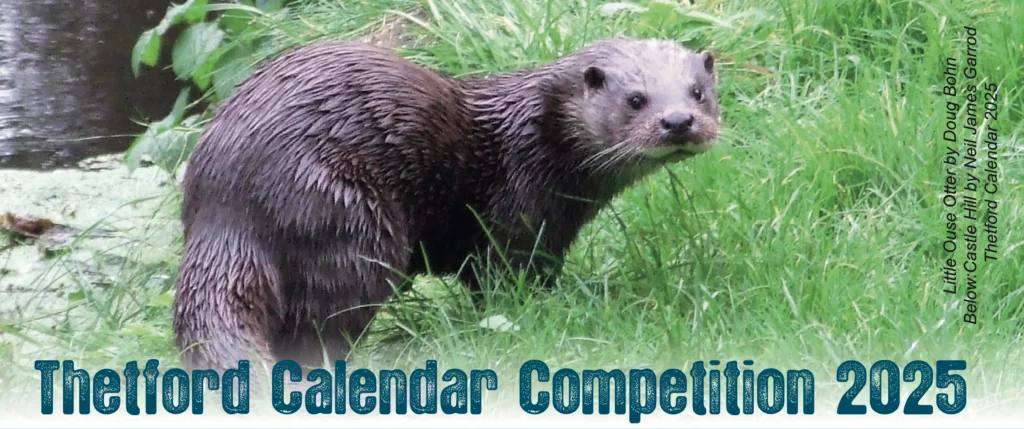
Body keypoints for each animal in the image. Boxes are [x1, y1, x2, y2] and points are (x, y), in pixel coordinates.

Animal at [174, 37, 721, 372]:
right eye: (635, 99)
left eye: (698, 92)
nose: (678, 121)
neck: (539, 142)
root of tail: (224, 208)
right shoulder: (521, 217)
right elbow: (506, 282)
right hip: (348, 217)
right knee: (320, 327)